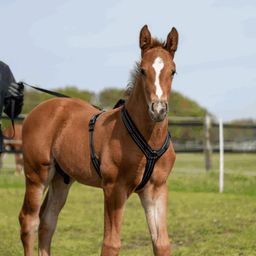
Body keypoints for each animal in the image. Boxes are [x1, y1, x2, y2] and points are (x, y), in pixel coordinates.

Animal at [19, 24, 178, 256]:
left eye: (173, 71)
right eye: (142, 70)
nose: (158, 110)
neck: (149, 141)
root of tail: (39, 110)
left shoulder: (156, 189)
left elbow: (162, 243)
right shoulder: (114, 188)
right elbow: (111, 244)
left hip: (61, 178)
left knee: (47, 221)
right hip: (37, 174)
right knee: (29, 221)